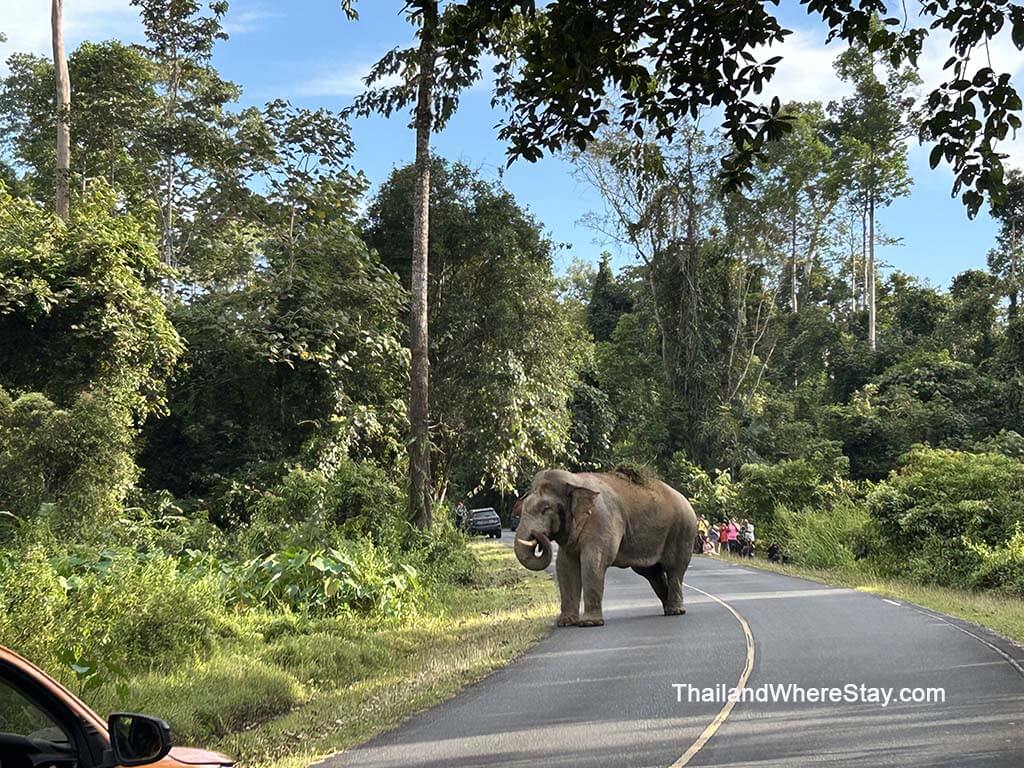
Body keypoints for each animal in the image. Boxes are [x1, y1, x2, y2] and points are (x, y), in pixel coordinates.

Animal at [513, 468, 698, 627]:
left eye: (546, 509)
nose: (537, 535)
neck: (575, 480)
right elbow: (565, 566)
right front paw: (565, 623)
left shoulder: (601, 521)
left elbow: (593, 562)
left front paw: (589, 623)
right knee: (652, 573)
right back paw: (667, 609)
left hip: (683, 531)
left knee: (674, 569)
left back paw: (676, 611)